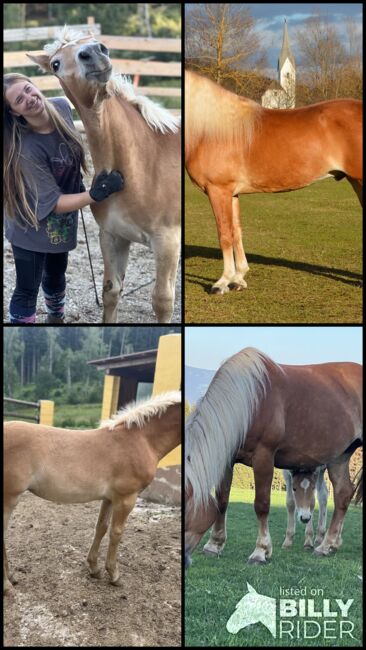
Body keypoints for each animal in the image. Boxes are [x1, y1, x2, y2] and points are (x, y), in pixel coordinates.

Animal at [2, 390, 180, 592]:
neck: (141, 439)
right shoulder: (126, 498)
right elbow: (116, 533)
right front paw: (114, 575)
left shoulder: (110, 498)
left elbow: (101, 528)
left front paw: (94, 568)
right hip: (9, 498)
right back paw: (7, 585)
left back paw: (12, 577)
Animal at [28, 27, 182, 322]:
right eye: (55, 63)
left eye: (94, 43)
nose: (94, 53)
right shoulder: (113, 237)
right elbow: (111, 291)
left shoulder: (167, 242)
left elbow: (162, 301)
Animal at [184, 346, 362, 564]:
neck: (249, 402)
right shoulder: (227, 459)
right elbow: (222, 500)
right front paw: (214, 544)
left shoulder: (264, 457)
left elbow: (262, 504)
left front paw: (261, 551)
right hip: (340, 457)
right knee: (343, 494)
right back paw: (327, 546)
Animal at [186, 69, 364, 292]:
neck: (210, 130)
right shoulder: (232, 193)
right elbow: (236, 232)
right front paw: (238, 279)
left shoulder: (218, 190)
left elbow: (224, 234)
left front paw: (222, 282)